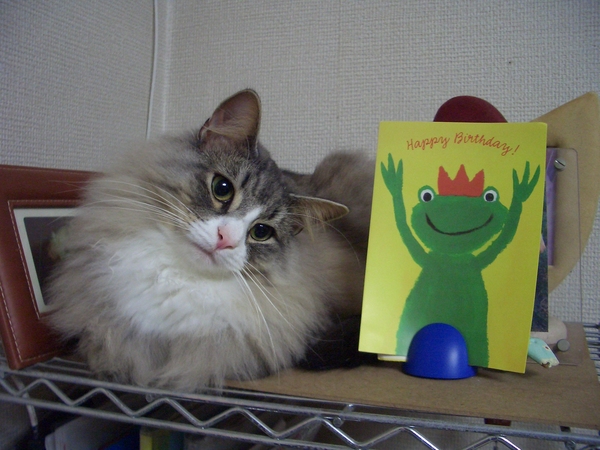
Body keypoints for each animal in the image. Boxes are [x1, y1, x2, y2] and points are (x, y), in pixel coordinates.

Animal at [47, 89, 374, 391]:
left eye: (261, 232)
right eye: (222, 188)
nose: (224, 239)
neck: (177, 276)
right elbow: (106, 345)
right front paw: (110, 366)